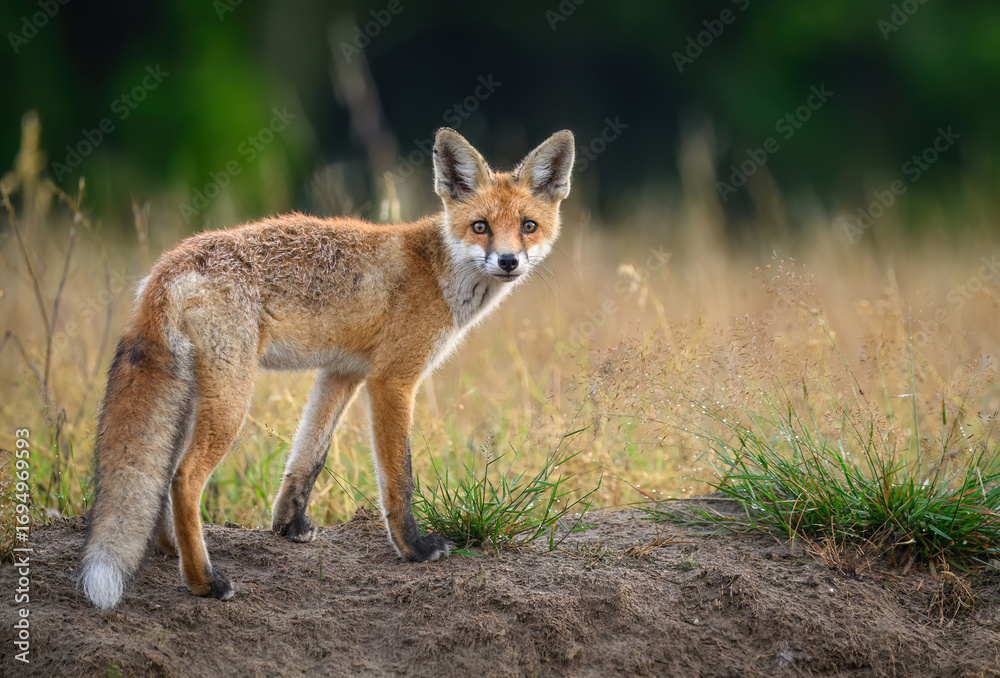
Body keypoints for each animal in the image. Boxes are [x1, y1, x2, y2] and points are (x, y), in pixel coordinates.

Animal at [76, 128, 575, 609]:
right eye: (480, 227)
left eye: (528, 227)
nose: (508, 261)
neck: (437, 272)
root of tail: (169, 263)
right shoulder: (392, 380)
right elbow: (399, 478)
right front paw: (413, 549)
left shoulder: (342, 373)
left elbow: (309, 457)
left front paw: (288, 527)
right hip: (232, 395)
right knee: (183, 479)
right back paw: (203, 581)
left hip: (194, 394)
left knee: (161, 477)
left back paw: (169, 550)